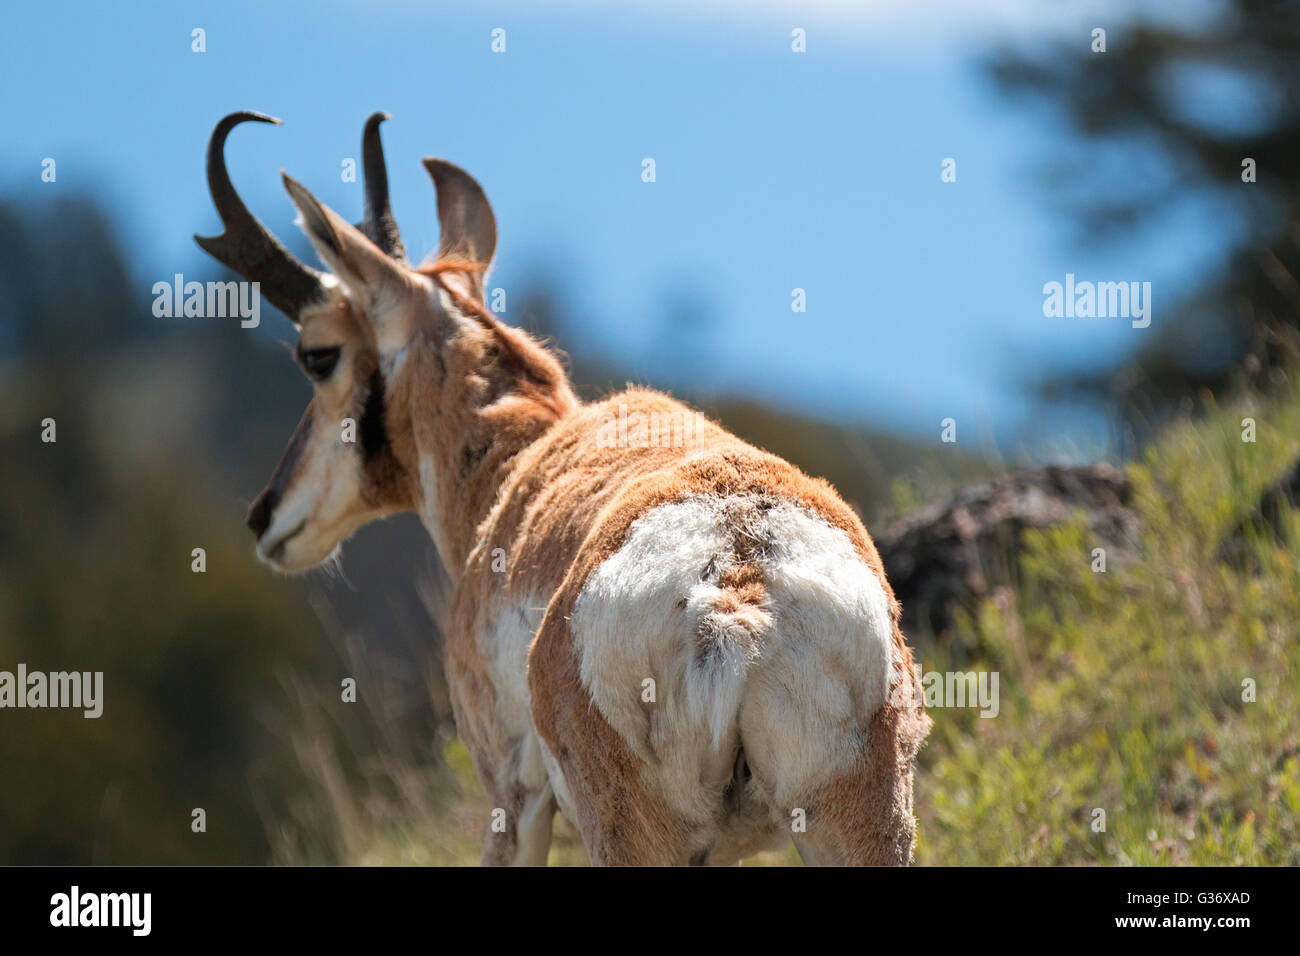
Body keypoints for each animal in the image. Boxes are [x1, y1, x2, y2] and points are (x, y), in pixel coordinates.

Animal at [197, 111, 931, 865]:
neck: (520, 463)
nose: (264, 516)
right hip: (859, 826)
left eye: (317, 356)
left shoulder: (512, 799)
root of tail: (739, 583)